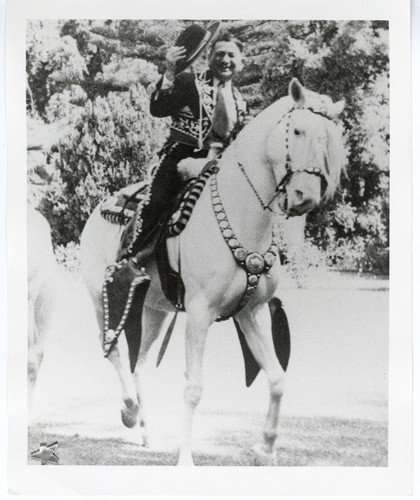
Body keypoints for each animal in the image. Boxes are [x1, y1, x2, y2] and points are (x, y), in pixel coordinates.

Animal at [79, 78, 344, 464]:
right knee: (112, 351)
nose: (304, 196)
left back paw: (150, 433)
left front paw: (265, 449)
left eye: (329, 139)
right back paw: (129, 411)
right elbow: (194, 387)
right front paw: (186, 458)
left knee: (139, 364)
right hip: (100, 297)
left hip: (154, 310)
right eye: (297, 130)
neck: (241, 212)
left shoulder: (251, 312)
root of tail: (99, 209)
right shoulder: (200, 313)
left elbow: (277, 379)